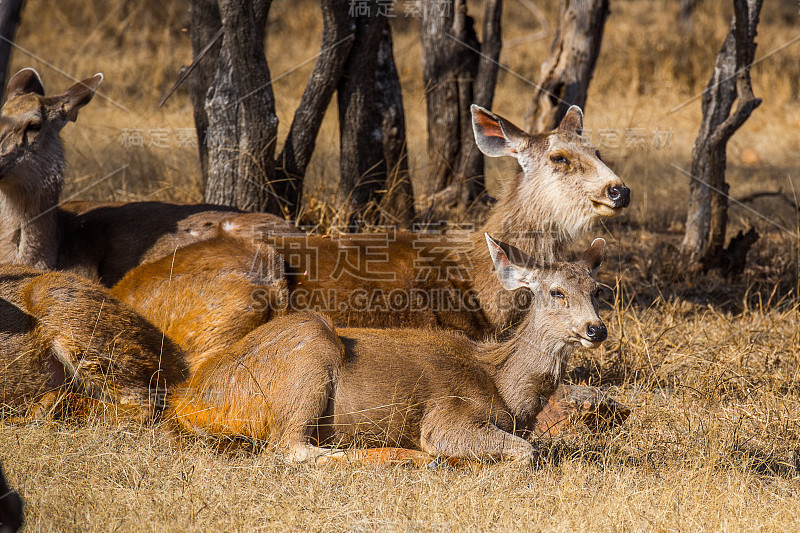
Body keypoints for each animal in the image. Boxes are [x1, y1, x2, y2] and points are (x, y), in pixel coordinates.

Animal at [169, 235, 608, 464]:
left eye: (596, 290)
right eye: (556, 291)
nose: (596, 329)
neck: (504, 389)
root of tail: (190, 401)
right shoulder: (447, 417)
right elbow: (527, 452)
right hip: (309, 352)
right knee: (292, 448)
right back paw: (406, 458)